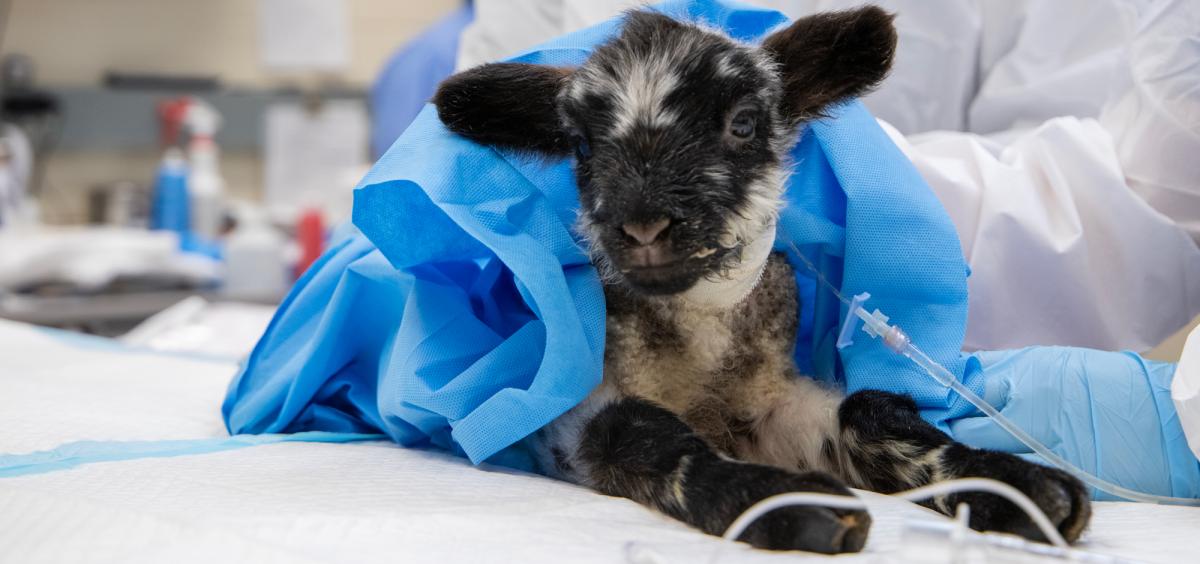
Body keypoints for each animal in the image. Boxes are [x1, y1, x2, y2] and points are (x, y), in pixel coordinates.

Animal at [432, 6, 1089, 552]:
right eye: (582, 146)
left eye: (744, 124)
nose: (642, 225)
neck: (703, 344)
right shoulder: (571, 417)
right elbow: (640, 433)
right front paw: (791, 507)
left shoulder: (774, 405)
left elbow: (868, 412)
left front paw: (1021, 487)